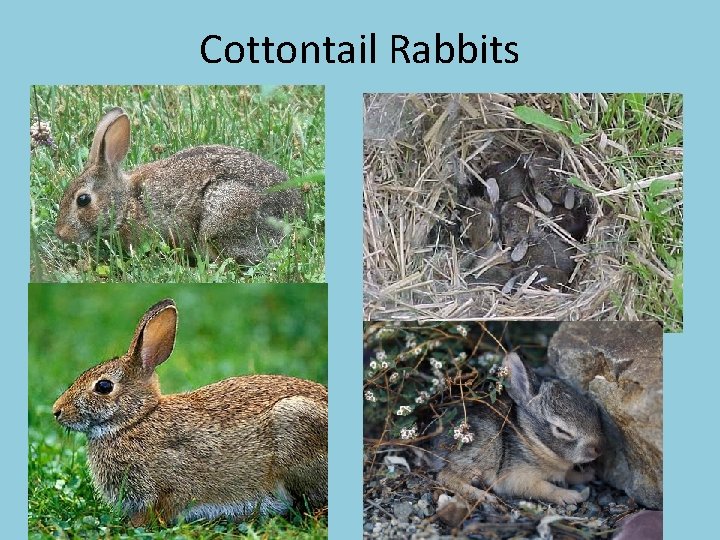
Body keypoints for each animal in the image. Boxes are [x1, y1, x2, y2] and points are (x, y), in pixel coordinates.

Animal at [429, 352, 602, 506]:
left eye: (592, 407)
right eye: (561, 430)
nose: (597, 449)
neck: (530, 438)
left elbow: (570, 475)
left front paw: (588, 475)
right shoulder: (517, 477)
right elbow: (545, 488)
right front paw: (571, 496)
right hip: (485, 451)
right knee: (446, 477)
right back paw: (484, 497)